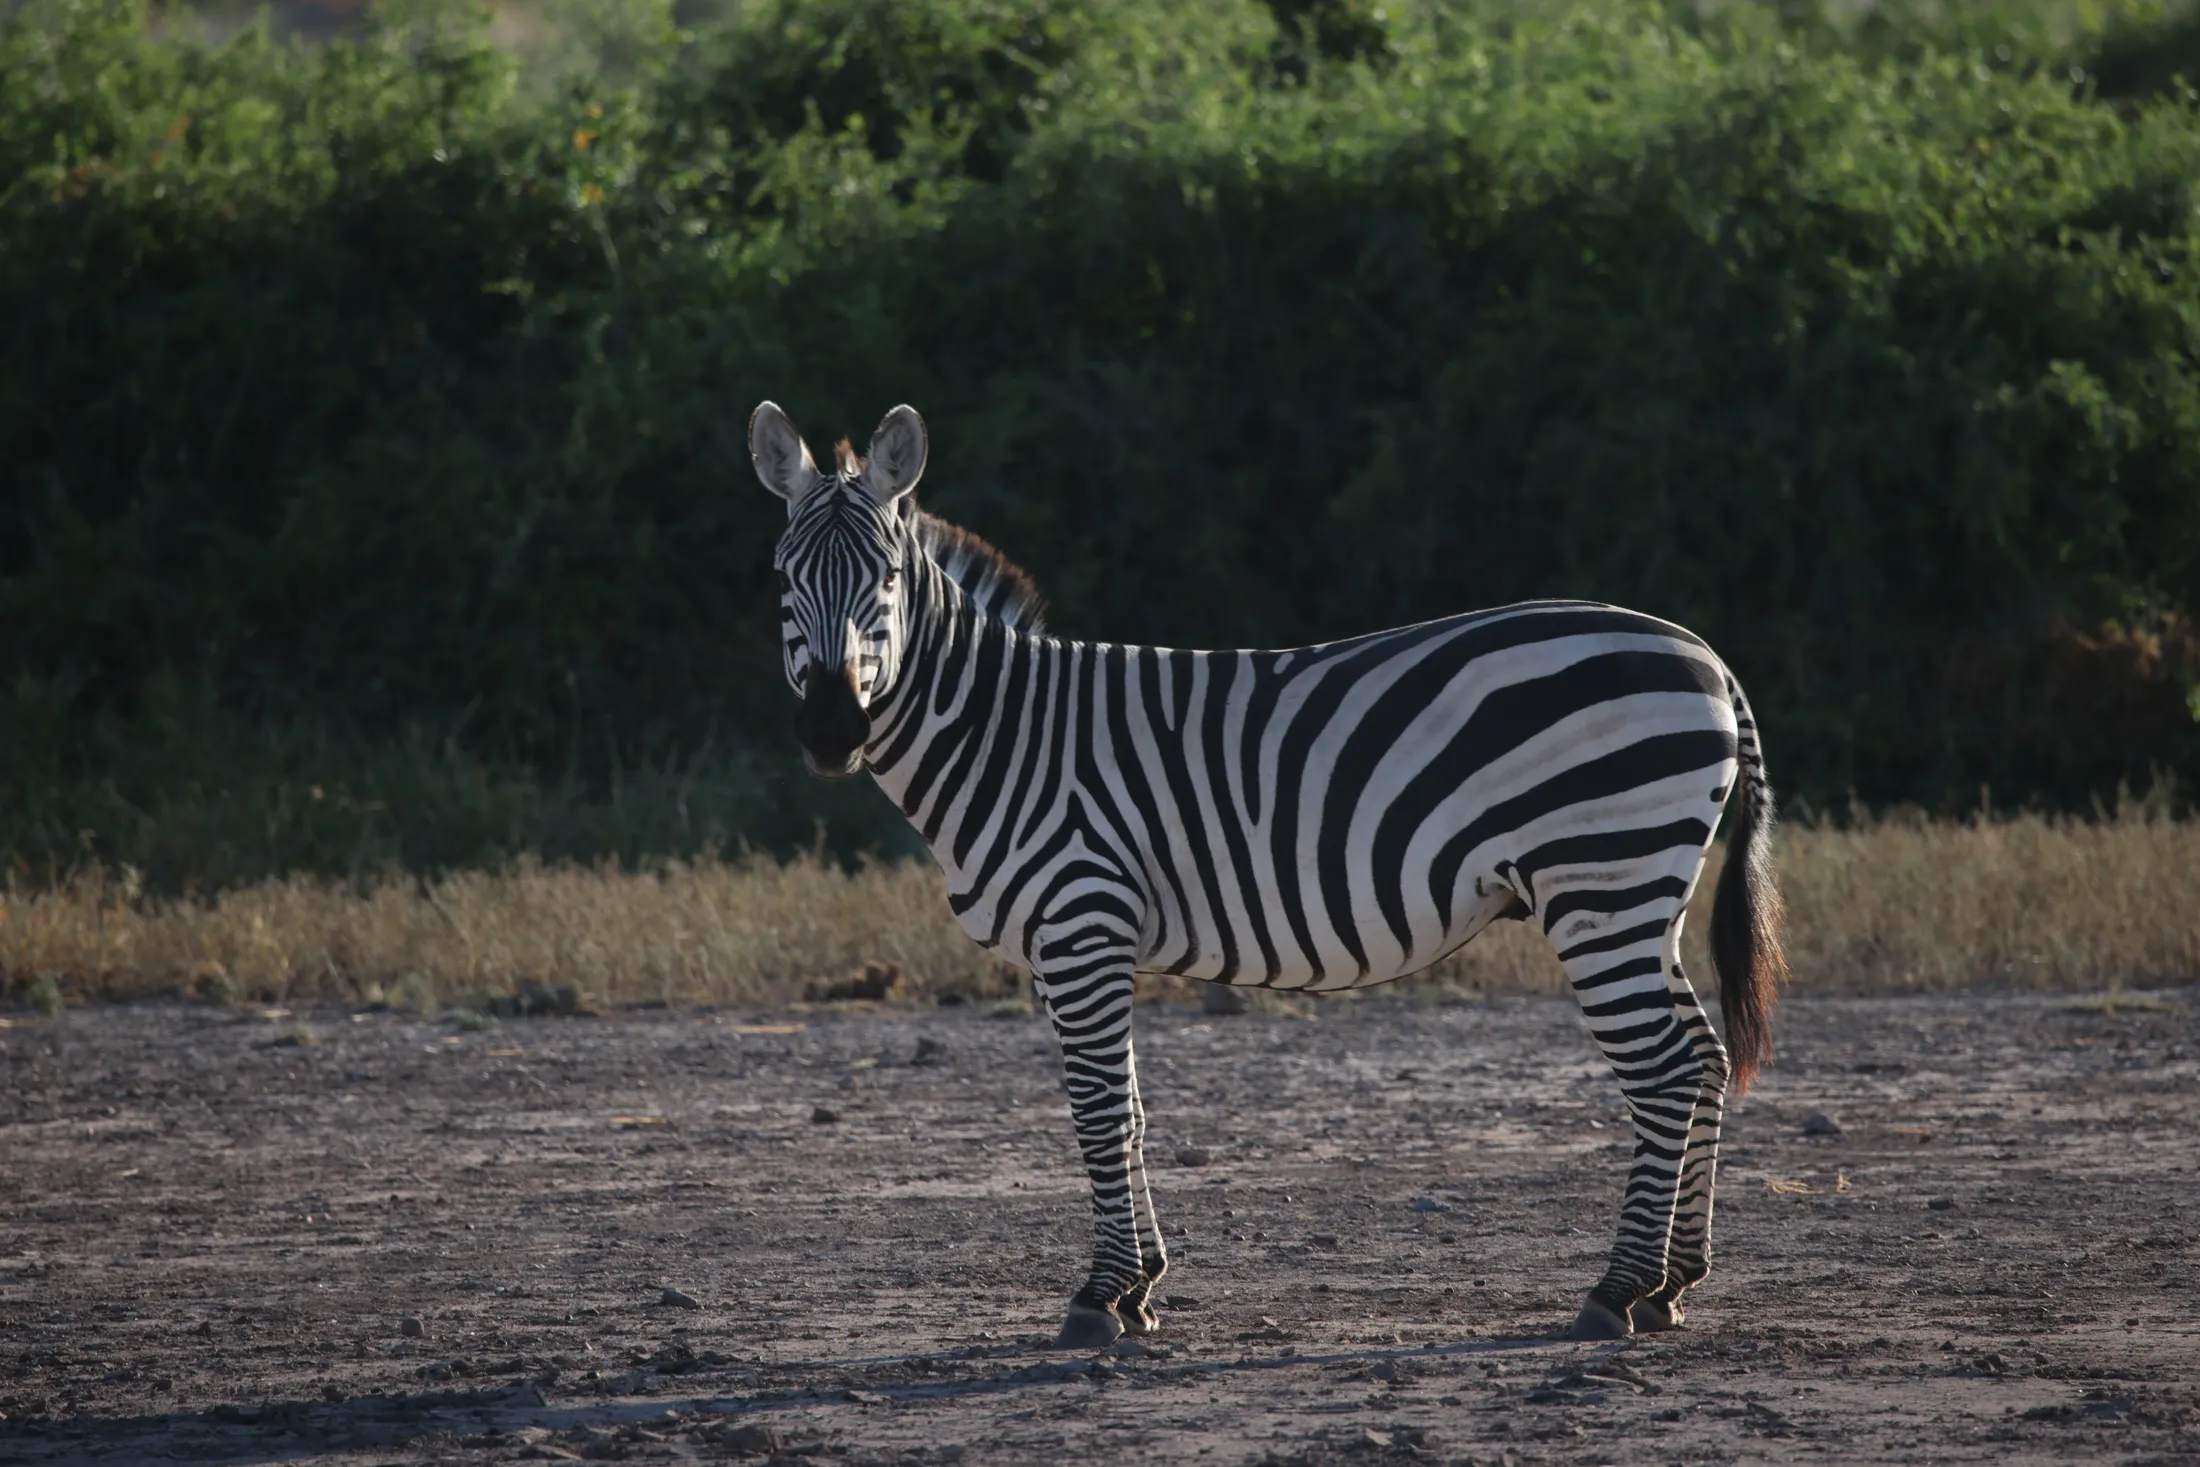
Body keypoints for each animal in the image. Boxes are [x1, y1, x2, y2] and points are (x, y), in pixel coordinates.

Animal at [750, 401, 1785, 1347]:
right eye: (783, 578)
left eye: (888, 578)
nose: (831, 729)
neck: (1005, 735)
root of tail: (1706, 655)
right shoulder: (1074, 942)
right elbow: (1130, 1110)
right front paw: (1141, 1287)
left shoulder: (1082, 920)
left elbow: (1098, 1112)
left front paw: (1099, 1298)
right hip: (1644, 897)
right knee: (1703, 1057)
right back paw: (1671, 1285)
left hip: (1599, 885)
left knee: (1662, 1070)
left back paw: (1616, 1291)